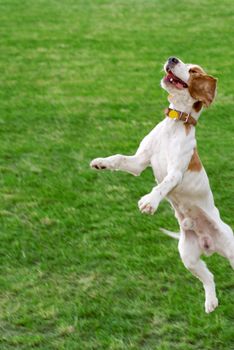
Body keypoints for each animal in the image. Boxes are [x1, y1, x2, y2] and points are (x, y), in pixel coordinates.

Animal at [89, 58, 232, 314]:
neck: (174, 125)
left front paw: (149, 202)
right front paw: (101, 163)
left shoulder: (176, 172)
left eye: (193, 70)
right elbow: (118, 158)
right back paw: (211, 302)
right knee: (209, 277)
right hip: (188, 257)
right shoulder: (139, 162)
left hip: (231, 249)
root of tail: (210, 245)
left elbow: (162, 185)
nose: (172, 59)